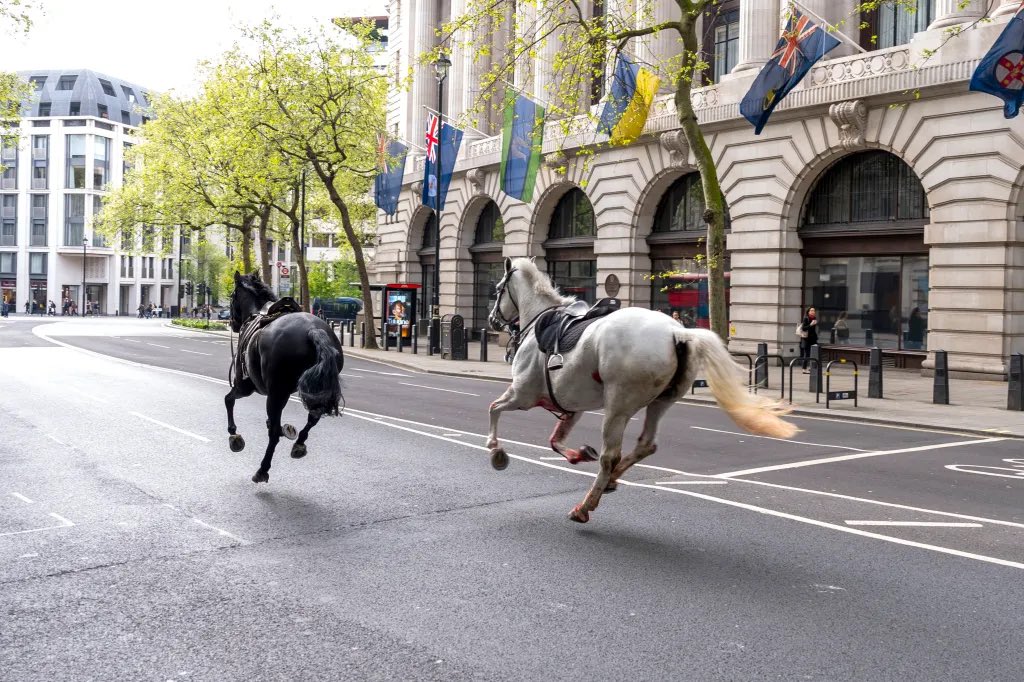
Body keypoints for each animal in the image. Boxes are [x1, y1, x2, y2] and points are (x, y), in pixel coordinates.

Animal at [225, 270, 344, 483]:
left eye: (232, 296)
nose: (233, 324)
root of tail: (313, 330)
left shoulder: (244, 386)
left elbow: (228, 400)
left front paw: (234, 435)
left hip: (274, 393)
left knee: (273, 434)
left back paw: (262, 469)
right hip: (313, 389)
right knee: (313, 417)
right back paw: (299, 444)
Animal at [487, 258, 798, 522]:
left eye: (498, 289)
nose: (491, 320)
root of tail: (678, 332)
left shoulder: (523, 394)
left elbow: (494, 408)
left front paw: (495, 450)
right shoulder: (571, 405)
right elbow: (555, 440)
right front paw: (578, 454)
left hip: (618, 406)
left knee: (610, 456)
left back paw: (585, 506)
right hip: (661, 401)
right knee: (646, 444)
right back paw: (611, 481)